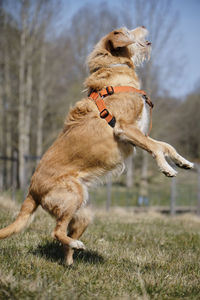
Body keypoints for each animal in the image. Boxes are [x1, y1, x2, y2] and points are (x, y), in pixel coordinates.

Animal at [0, 26, 194, 264]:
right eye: (128, 30)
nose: (143, 27)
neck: (114, 70)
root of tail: (31, 190)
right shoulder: (125, 129)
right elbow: (156, 148)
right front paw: (166, 168)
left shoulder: (138, 133)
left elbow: (166, 146)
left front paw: (183, 162)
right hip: (73, 195)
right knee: (56, 232)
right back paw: (75, 246)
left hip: (83, 213)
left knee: (63, 236)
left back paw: (70, 260)